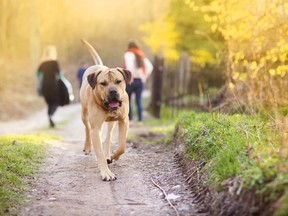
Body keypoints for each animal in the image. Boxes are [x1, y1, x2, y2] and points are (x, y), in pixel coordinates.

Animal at [80, 38, 132, 181]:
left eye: (119, 81)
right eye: (103, 83)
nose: (113, 91)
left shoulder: (124, 120)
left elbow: (122, 146)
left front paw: (114, 155)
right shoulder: (96, 128)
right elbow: (99, 153)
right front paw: (106, 173)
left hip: (111, 123)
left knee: (108, 138)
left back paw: (109, 154)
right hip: (84, 114)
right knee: (87, 129)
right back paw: (87, 147)